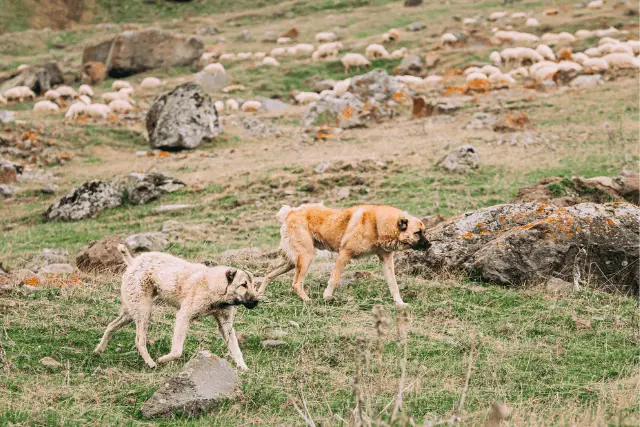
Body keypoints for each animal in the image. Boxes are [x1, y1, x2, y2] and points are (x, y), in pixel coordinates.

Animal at [95, 247, 260, 372]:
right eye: (243, 285)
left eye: (253, 285)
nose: (256, 301)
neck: (217, 286)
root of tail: (134, 261)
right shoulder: (183, 316)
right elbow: (177, 351)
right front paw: (163, 359)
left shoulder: (225, 325)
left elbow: (235, 348)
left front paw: (243, 367)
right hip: (143, 311)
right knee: (139, 341)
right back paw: (151, 362)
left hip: (132, 311)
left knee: (111, 326)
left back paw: (99, 349)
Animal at [258, 204, 430, 308]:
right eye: (417, 233)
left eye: (424, 231)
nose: (429, 245)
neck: (377, 225)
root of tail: (291, 212)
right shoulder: (344, 254)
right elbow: (334, 279)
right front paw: (327, 296)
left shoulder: (386, 259)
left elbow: (393, 285)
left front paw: (400, 303)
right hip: (305, 257)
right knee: (295, 283)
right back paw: (307, 300)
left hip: (292, 261)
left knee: (270, 271)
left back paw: (259, 294)